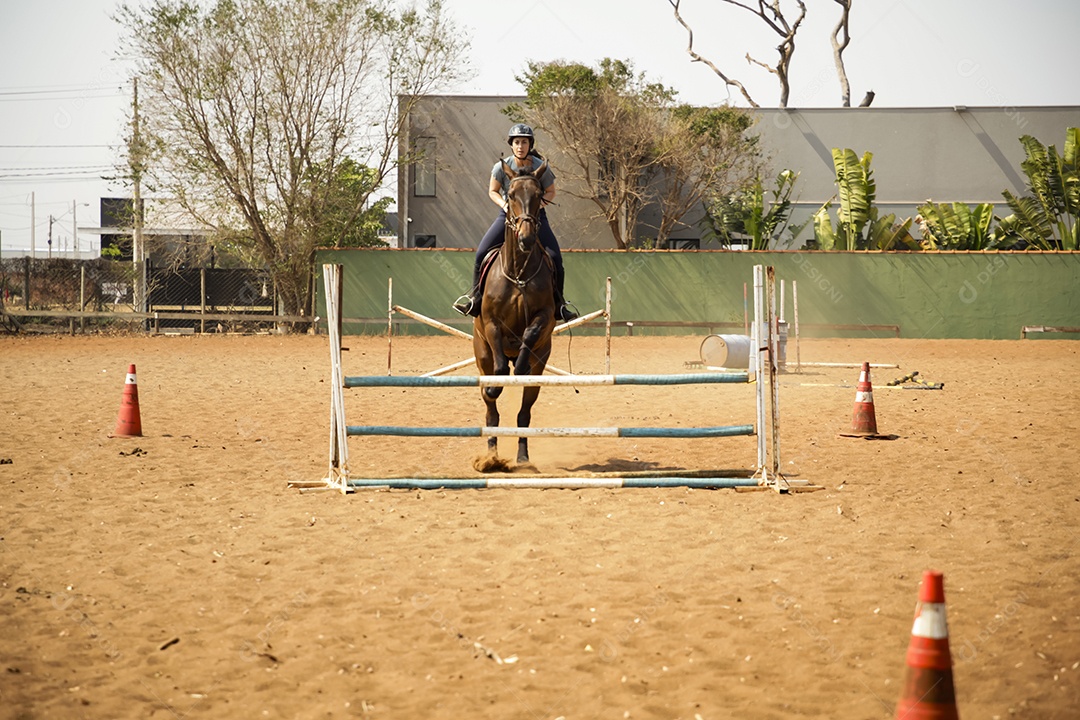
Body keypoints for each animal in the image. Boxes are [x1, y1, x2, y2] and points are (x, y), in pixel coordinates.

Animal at [472, 160, 556, 471]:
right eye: (510, 195)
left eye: (539, 195)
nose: (526, 238)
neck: (519, 271)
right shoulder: (491, 324)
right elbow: (498, 370)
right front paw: (497, 386)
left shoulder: (545, 316)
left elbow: (530, 333)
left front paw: (518, 367)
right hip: (481, 355)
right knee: (491, 415)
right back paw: (491, 457)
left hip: (540, 367)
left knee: (524, 415)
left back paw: (521, 457)